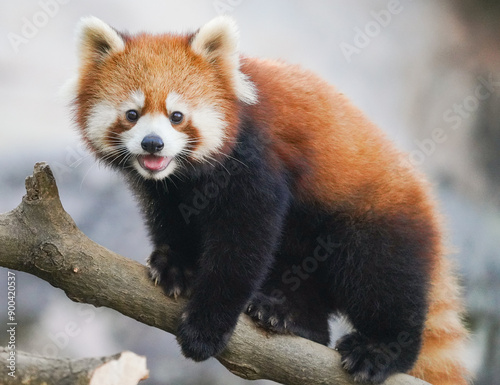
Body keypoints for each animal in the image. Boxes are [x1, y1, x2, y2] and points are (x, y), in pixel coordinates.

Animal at [68, 15, 470, 384]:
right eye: (132, 114)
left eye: (176, 116)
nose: (153, 144)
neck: (184, 174)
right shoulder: (166, 189)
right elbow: (173, 218)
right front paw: (176, 265)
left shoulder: (255, 160)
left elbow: (243, 243)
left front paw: (206, 328)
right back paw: (289, 316)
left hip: (377, 219)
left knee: (381, 280)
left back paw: (379, 349)